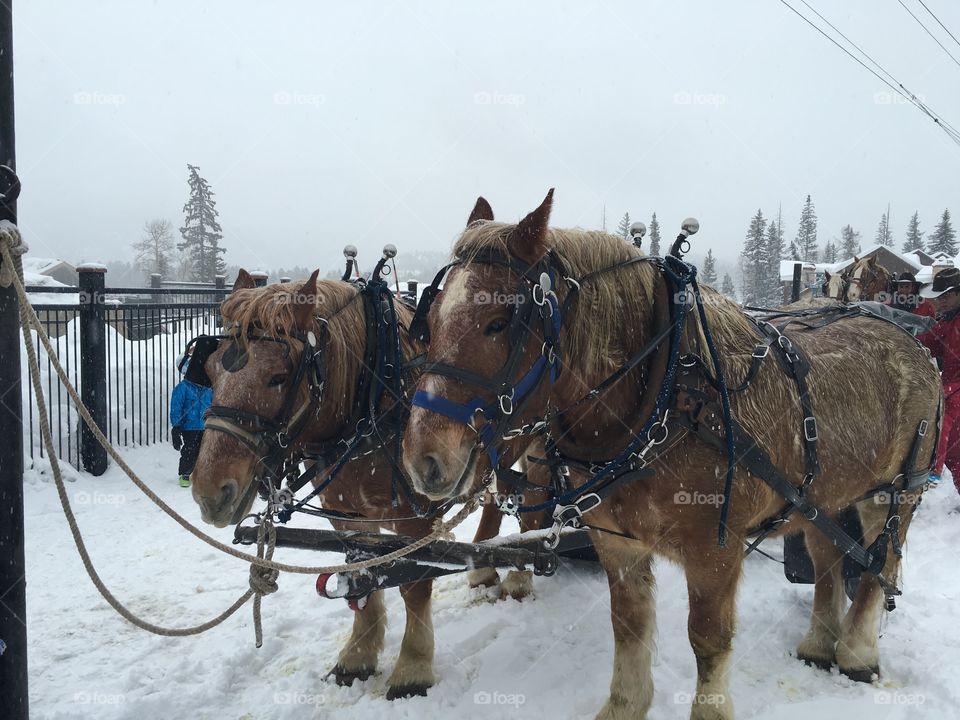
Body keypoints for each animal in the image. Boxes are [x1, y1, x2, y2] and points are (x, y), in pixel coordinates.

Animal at [401, 191, 941, 720]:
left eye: (497, 323)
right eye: (428, 322)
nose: (422, 459)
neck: (666, 392)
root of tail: (911, 340)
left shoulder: (715, 551)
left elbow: (708, 640)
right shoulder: (617, 541)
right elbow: (629, 625)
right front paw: (624, 705)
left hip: (895, 492)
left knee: (879, 565)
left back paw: (857, 653)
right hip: (823, 496)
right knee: (828, 558)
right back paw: (817, 644)